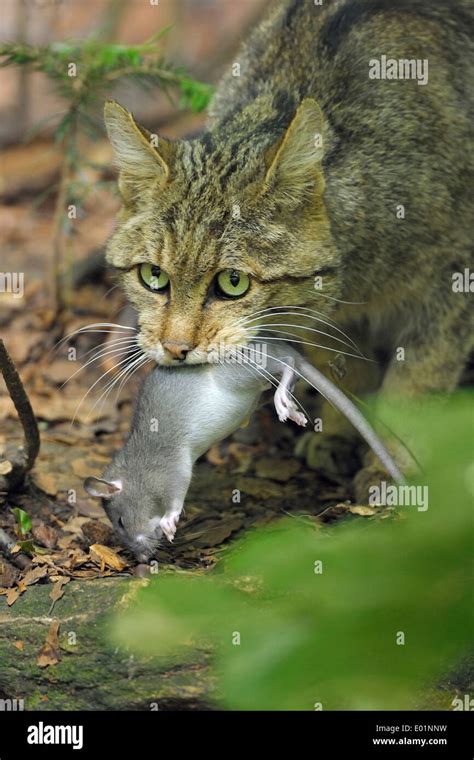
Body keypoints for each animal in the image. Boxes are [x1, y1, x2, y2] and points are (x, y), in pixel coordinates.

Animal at [102, 0, 472, 498]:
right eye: (153, 276)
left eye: (232, 282)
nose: (176, 348)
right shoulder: (318, 314)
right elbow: (344, 368)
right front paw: (342, 431)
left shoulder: (452, 281)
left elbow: (418, 381)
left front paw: (393, 465)